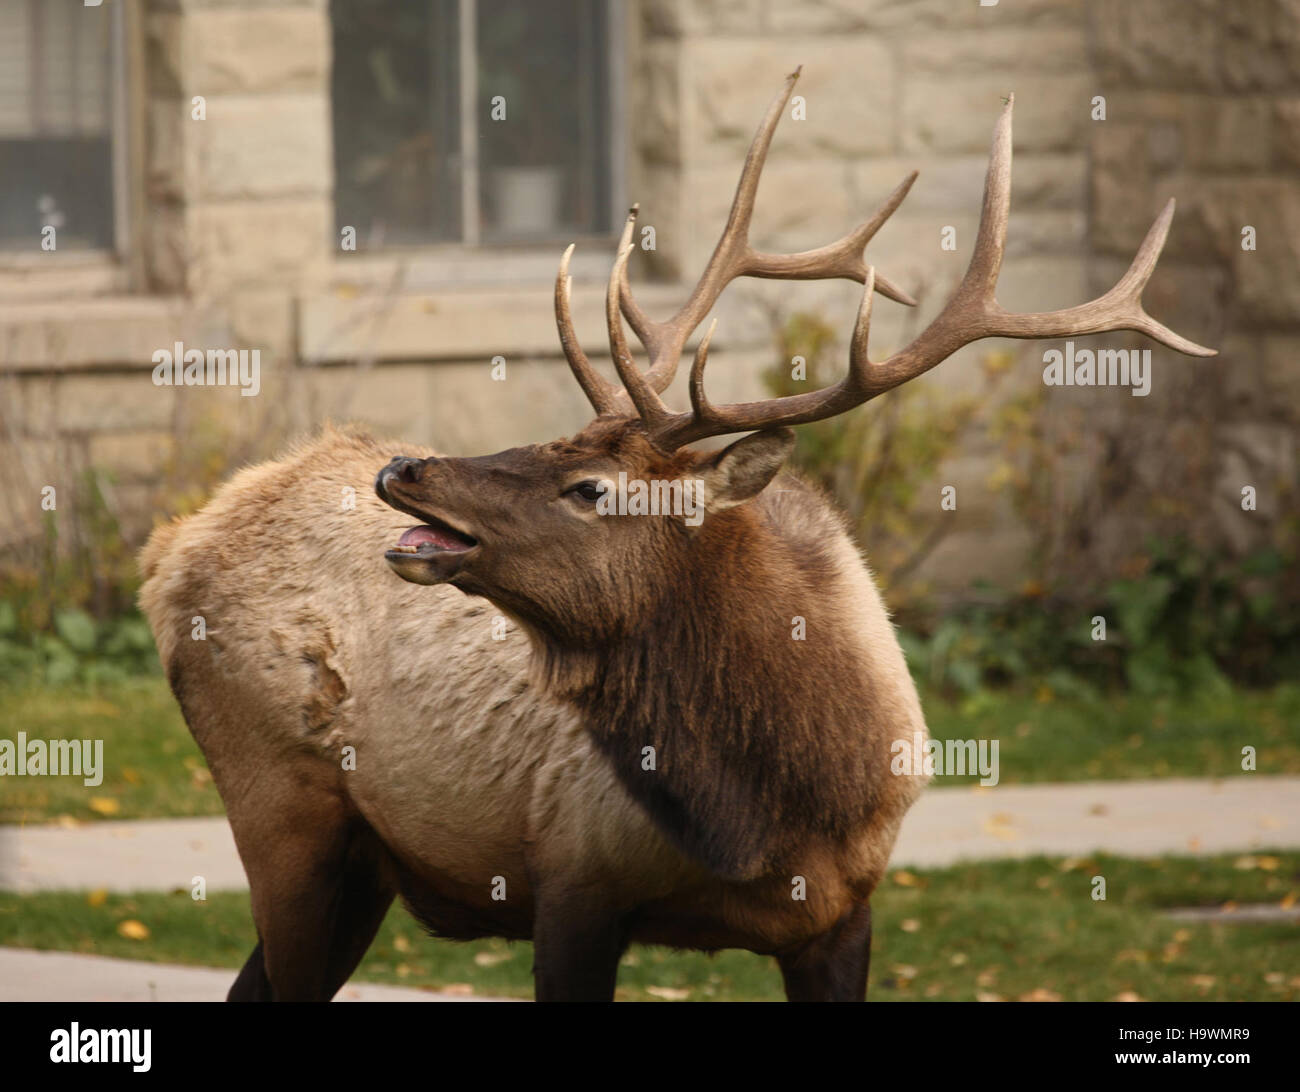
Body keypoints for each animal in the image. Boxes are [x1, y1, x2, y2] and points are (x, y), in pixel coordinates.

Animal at [139, 68, 1206, 1003]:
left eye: (589, 485)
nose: (403, 470)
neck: (773, 817)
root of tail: (171, 553)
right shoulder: (571, 878)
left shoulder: (843, 914)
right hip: (281, 802)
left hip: (360, 860)